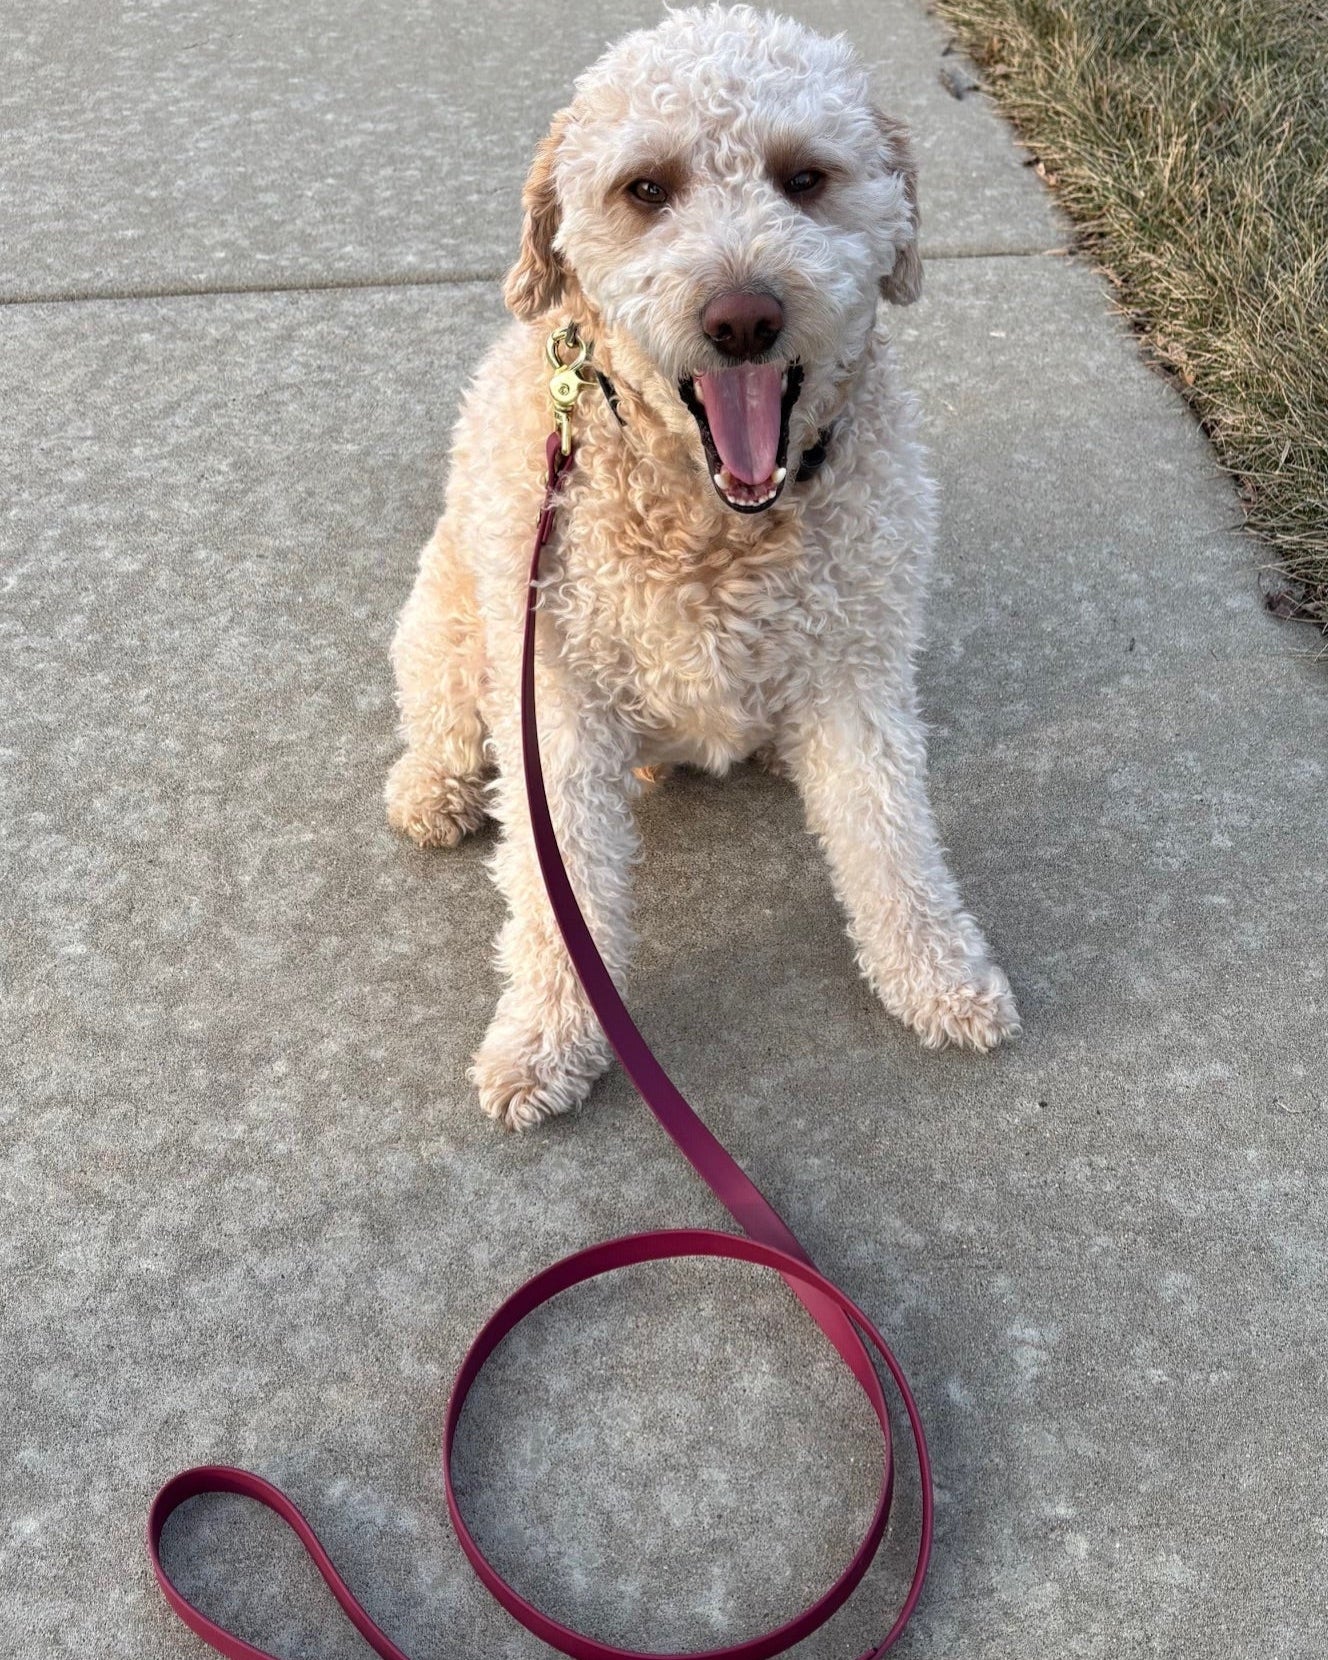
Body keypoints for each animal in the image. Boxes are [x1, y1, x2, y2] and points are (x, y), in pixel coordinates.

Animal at [381, 0, 1015, 1128]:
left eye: (803, 177)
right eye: (646, 189)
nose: (743, 316)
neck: (714, 528)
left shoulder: (855, 673)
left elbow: (889, 838)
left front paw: (936, 973)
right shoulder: (557, 704)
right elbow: (558, 891)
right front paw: (544, 1036)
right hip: (455, 618)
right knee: (441, 713)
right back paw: (429, 788)